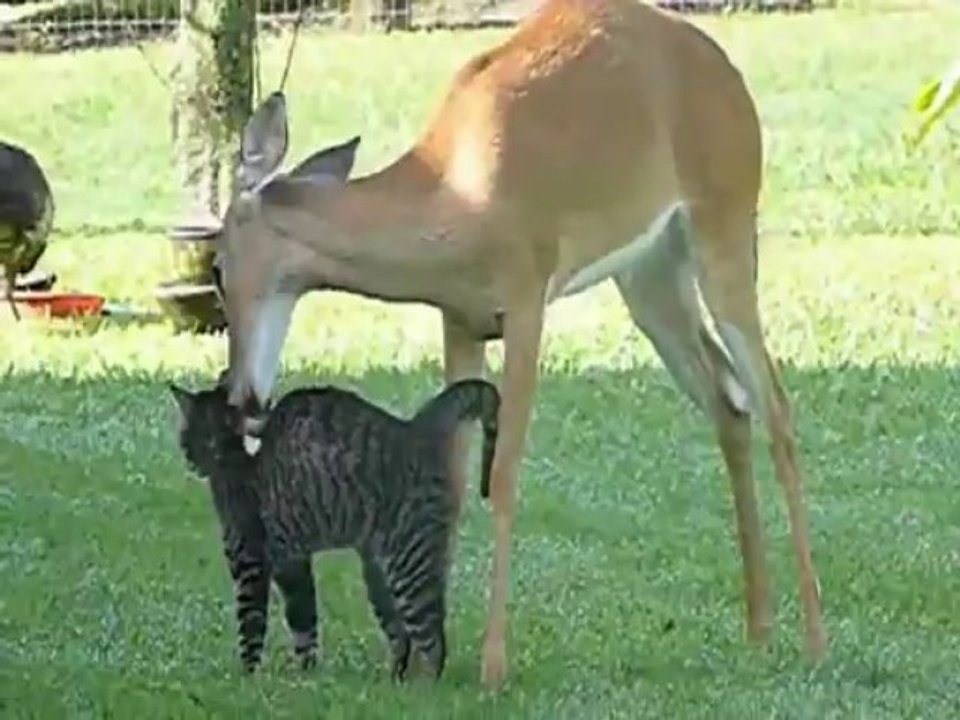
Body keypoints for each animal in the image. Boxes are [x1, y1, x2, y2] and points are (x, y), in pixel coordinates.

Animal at [211, 0, 827, 689]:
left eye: (216, 268)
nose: (241, 398)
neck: (452, 203)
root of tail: (729, 72)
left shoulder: (528, 296)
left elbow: (502, 474)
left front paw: (492, 664)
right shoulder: (457, 318)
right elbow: (452, 481)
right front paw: (426, 661)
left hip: (726, 220)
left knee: (776, 407)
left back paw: (813, 639)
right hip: (648, 272)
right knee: (729, 402)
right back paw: (759, 629)